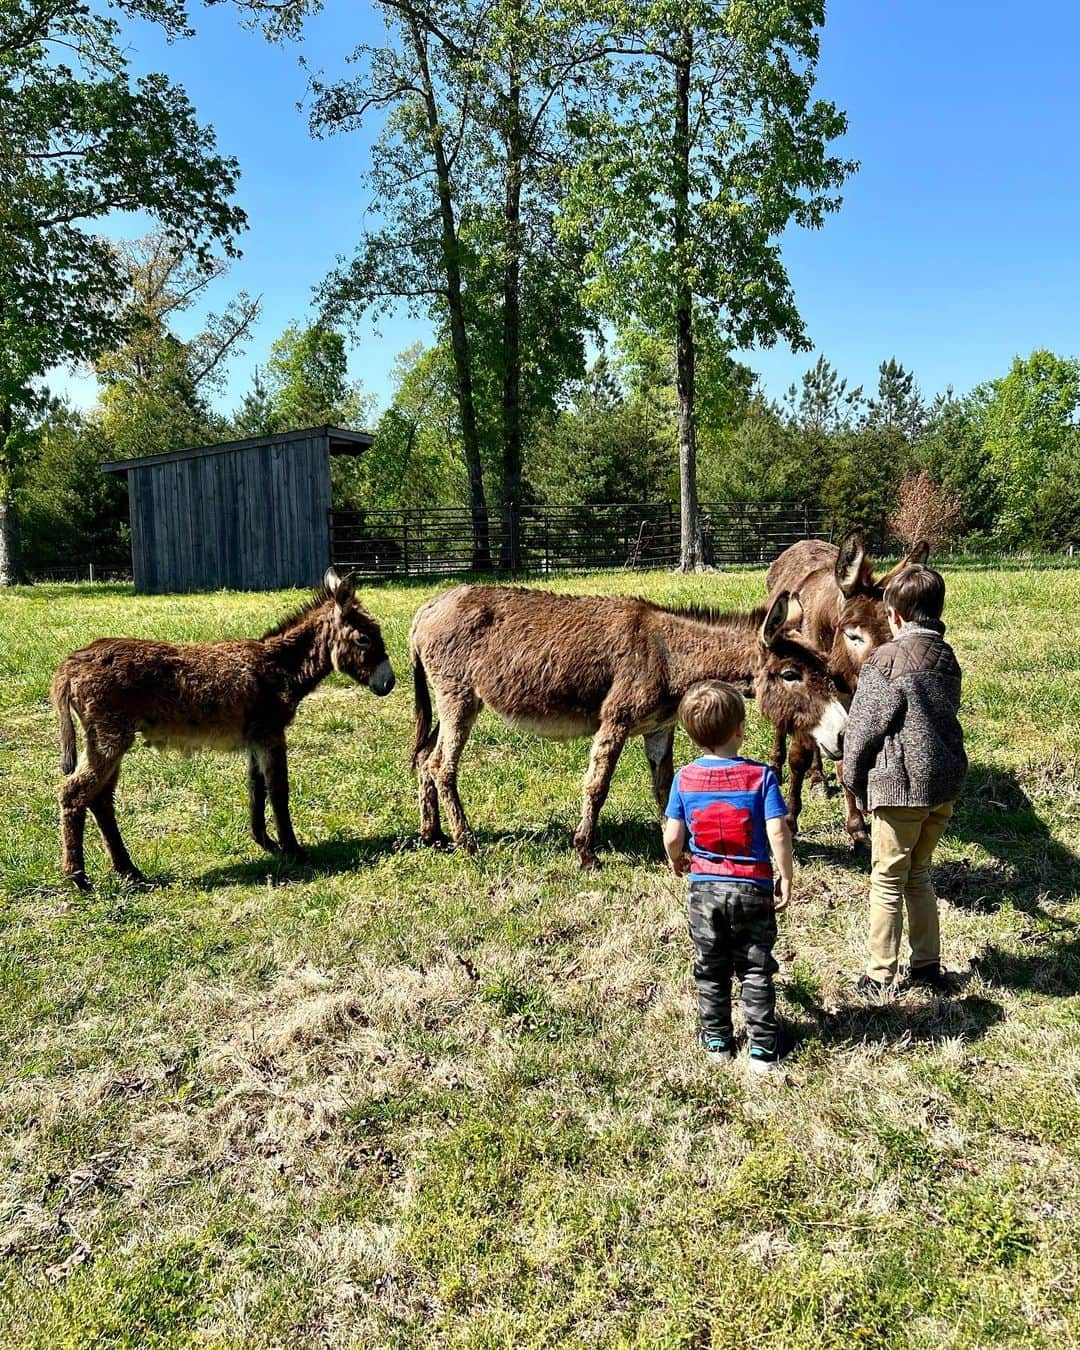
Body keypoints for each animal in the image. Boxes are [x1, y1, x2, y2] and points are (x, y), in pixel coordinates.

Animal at [50, 567, 394, 891]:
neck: (279, 667)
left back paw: (128, 871)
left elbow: (256, 788)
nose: (389, 683)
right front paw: (293, 850)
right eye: (364, 638)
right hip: (109, 737)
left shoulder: (256, 738)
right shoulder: (271, 734)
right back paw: (79, 879)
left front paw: (265, 842)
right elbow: (279, 791)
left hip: (109, 738)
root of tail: (71, 663)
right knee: (74, 794)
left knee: (100, 799)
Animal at [410, 588, 847, 864]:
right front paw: (585, 851)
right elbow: (597, 785)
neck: (669, 655)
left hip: (455, 700)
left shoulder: (659, 728)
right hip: (458, 697)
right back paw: (467, 844)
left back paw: (433, 835)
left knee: (424, 758)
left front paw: (677, 848)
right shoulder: (615, 720)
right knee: (442, 766)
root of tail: (427, 607)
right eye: (791, 675)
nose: (843, 734)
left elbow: (664, 788)